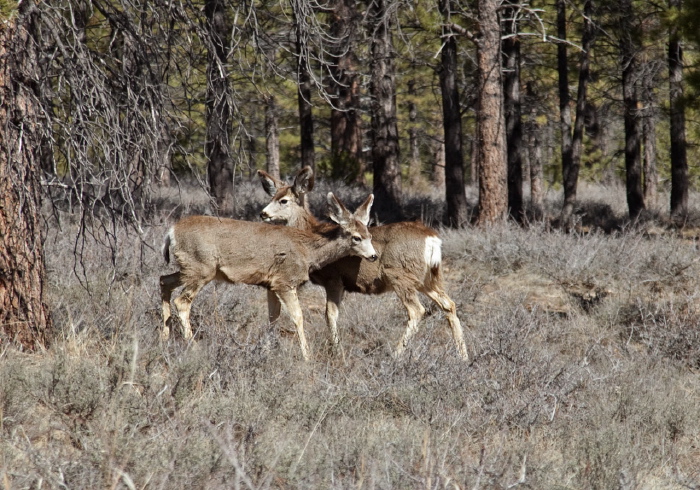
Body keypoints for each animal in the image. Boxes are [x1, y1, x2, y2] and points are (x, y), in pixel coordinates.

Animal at [159, 191, 378, 360]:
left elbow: (273, 317)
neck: (307, 251)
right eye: (356, 238)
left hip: (189, 268)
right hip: (201, 268)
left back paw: (165, 336)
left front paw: (265, 350)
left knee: (164, 281)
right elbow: (298, 317)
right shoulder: (285, 281)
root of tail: (171, 232)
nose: (374, 256)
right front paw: (307, 356)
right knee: (182, 301)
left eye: (370, 235)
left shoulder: (270, 285)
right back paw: (193, 347)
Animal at [258, 167, 470, 362]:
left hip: (399, 274)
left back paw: (394, 356)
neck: (313, 234)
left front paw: (337, 353)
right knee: (448, 304)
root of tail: (432, 239)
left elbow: (330, 314)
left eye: (283, 200)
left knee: (417, 310)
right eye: (273, 195)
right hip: (428, 277)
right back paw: (463, 357)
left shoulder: (334, 279)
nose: (263, 213)